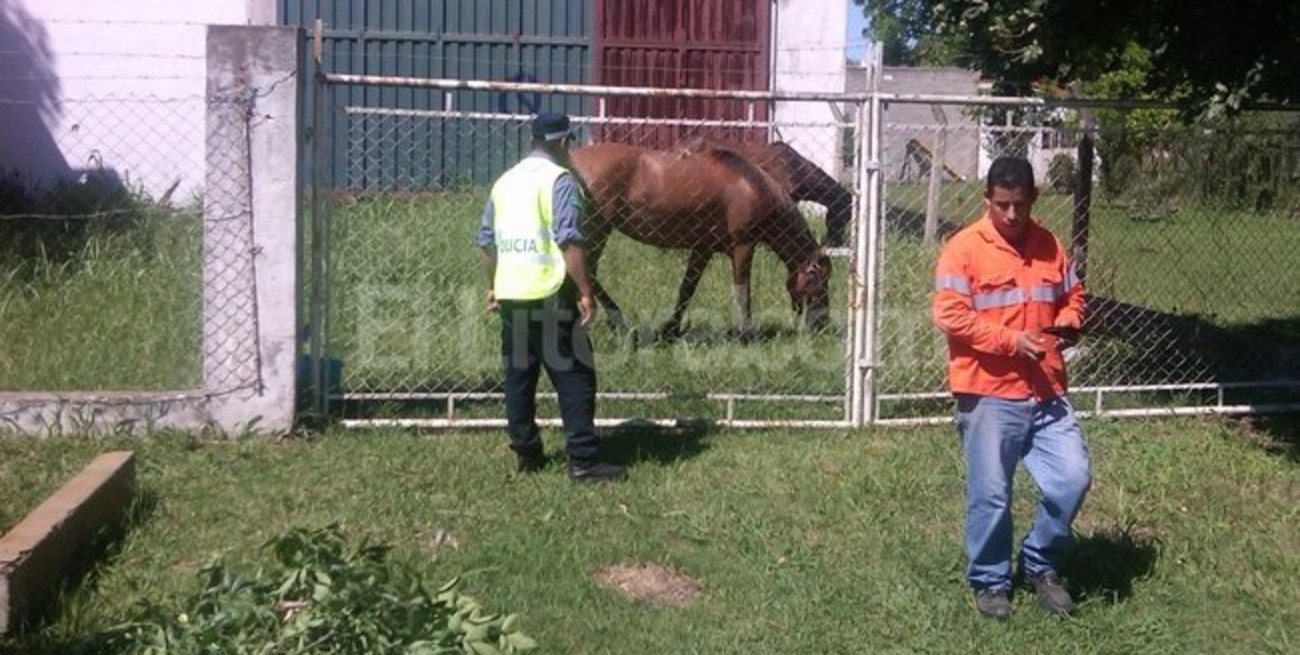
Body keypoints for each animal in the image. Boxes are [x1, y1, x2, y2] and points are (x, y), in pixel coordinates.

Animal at [569, 142, 832, 341]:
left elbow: (687, 289)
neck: (751, 186)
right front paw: (748, 333)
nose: (823, 324)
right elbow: (742, 291)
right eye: (817, 280)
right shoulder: (744, 247)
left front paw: (670, 330)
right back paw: (620, 324)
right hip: (596, 230)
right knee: (587, 273)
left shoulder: (703, 249)